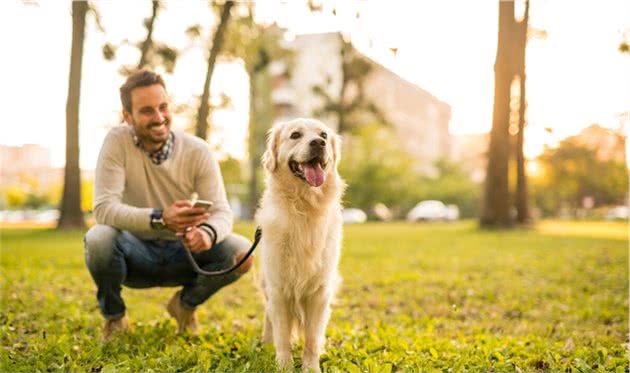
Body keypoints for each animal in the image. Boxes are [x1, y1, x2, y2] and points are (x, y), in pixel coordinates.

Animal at [256, 117, 346, 370]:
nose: (318, 143)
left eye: (323, 135)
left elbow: (312, 339)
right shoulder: (278, 289)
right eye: (295, 135)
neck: (304, 208)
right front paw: (284, 366)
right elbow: (282, 336)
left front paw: (311, 367)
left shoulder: (320, 292)